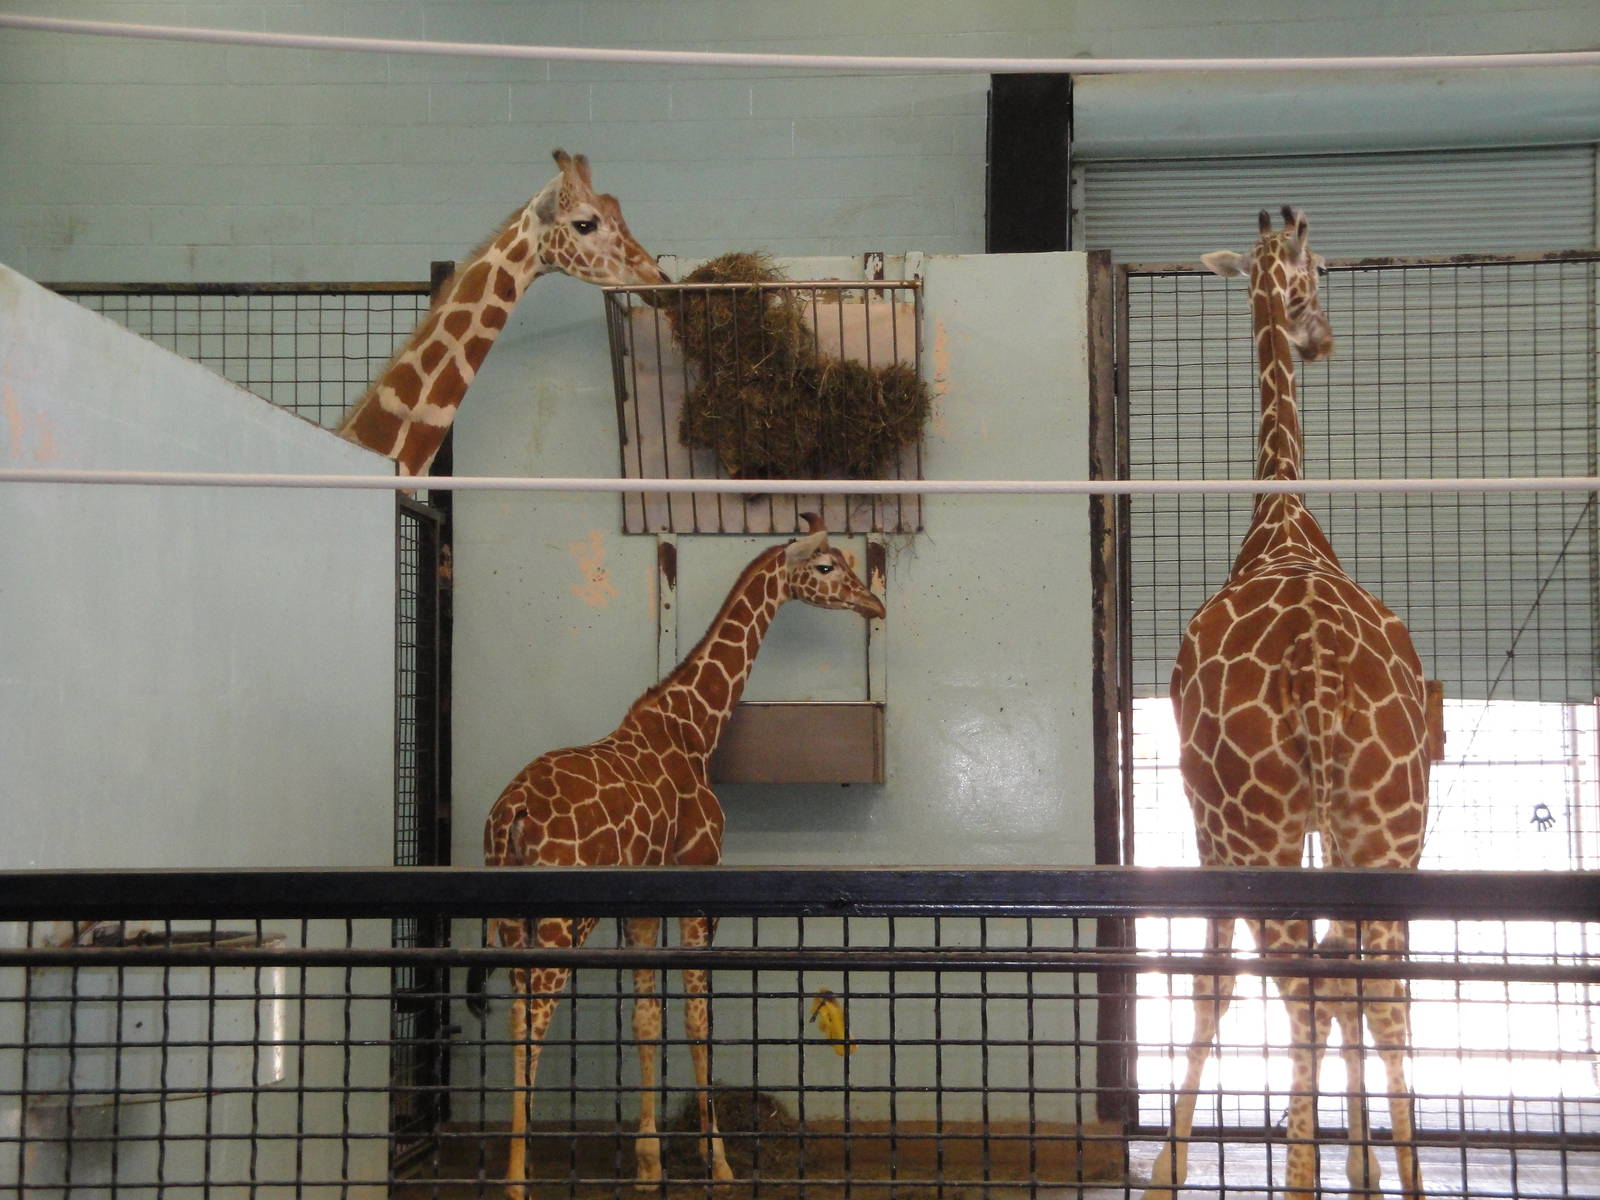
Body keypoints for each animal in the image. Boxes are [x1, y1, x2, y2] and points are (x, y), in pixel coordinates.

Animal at [479, 514, 885, 1195]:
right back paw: (515, 1179)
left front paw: (649, 1163)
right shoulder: (700, 879)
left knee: (514, 1021)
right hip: (560, 922)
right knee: (534, 1022)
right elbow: (698, 1019)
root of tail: (512, 813)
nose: (874, 604)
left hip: (510, 921)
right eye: (828, 567)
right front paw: (718, 1162)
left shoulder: (643, 901)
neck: (695, 726)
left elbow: (647, 1019)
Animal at [1143, 208, 1443, 1200]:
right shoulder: (1326, 833)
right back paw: (1394, 1177)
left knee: (1311, 985)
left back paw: (1310, 1173)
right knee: (1375, 990)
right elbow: (1318, 980)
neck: (1280, 518)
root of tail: (1313, 664)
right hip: (1388, 829)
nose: (1323, 339)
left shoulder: (1209, 821)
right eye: (1317, 277)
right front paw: (1364, 1166)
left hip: (1267, 826)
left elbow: (1216, 978)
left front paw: (1167, 1167)